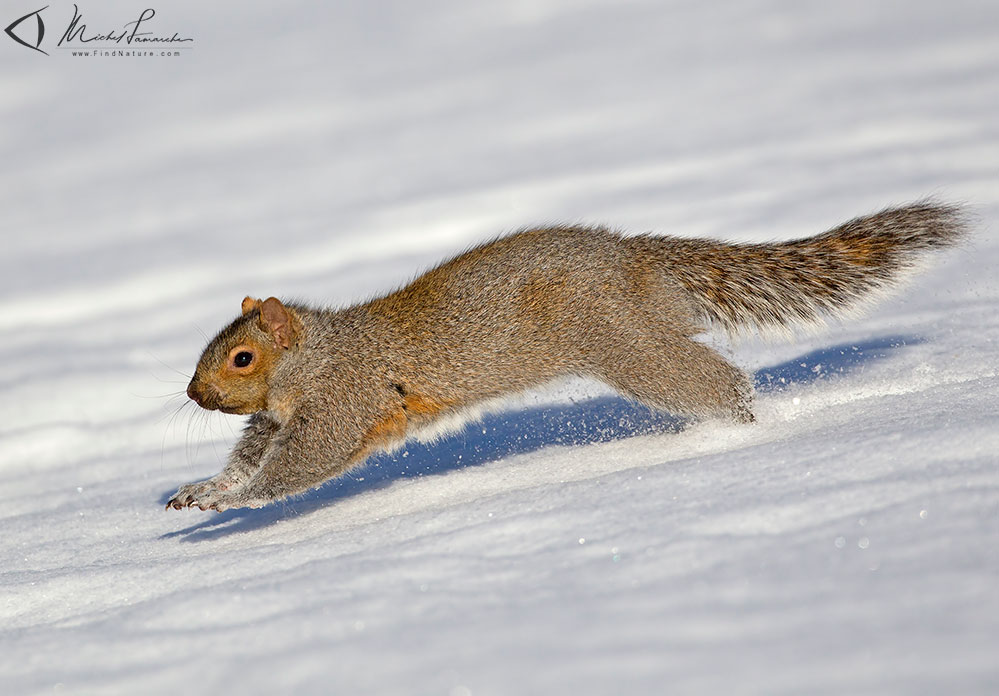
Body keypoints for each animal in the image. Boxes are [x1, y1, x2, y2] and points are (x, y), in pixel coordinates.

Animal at [168, 201, 964, 512]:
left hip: (628, 346)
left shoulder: (344, 399)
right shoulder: (275, 418)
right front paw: (201, 490)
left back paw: (736, 429)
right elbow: (251, 453)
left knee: (716, 382)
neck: (313, 360)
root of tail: (642, 262)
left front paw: (228, 505)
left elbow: (302, 464)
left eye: (241, 358)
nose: (195, 395)